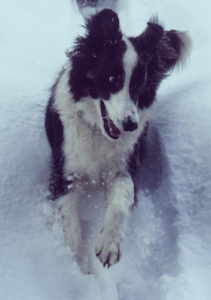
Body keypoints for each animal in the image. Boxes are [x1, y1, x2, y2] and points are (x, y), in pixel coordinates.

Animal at [44, 8, 191, 272]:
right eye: (113, 79)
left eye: (138, 85)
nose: (131, 124)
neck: (97, 133)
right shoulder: (62, 175)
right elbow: (70, 224)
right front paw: (78, 270)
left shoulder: (124, 169)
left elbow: (123, 197)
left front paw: (110, 244)